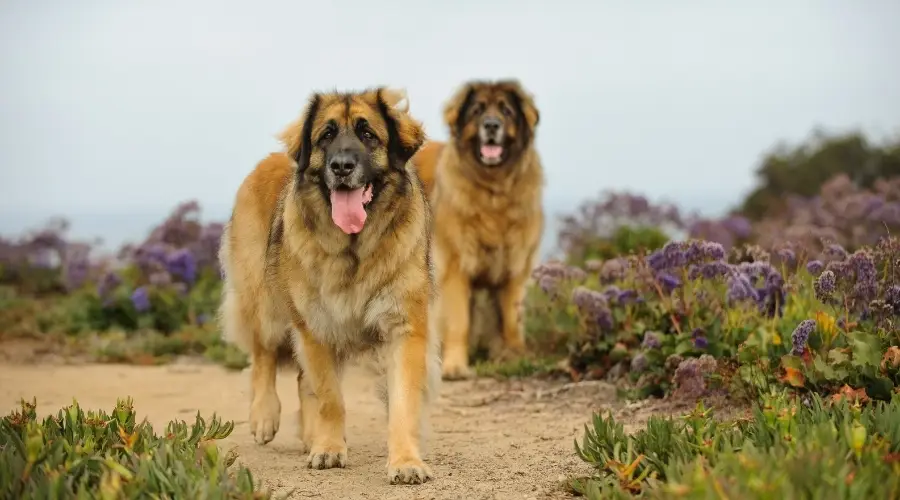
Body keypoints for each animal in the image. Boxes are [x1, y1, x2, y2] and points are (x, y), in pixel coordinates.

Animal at [220, 87, 442, 484]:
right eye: (326, 135)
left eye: (368, 134)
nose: (341, 166)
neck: (354, 248)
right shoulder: (316, 326)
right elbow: (329, 397)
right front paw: (329, 448)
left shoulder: (404, 329)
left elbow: (402, 402)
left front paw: (405, 461)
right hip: (264, 303)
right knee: (263, 355)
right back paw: (265, 416)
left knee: (299, 378)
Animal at [412, 80, 544, 378]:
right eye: (477, 111)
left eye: (506, 111)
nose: (491, 125)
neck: (493, 193)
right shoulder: (455, 267)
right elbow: (458, 321)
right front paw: (455, 365)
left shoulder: (515, 267)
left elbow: (512, 320)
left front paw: (515, 356)